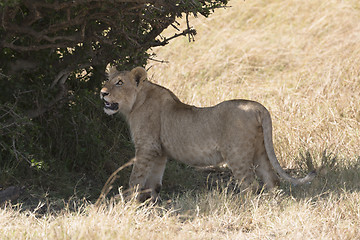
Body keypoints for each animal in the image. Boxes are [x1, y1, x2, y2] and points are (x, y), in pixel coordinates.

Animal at [100, 65, 316, 201]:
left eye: (119, 83)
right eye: (107, 80)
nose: (102, 93)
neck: (136, 102)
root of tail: (258, 107)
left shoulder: (146, 147)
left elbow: (136, 178)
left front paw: (127, 201)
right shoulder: (159, 152)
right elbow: (154, 182)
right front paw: (150, 204)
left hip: (237, 154)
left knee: (250, 185)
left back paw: (242, 206)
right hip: (259, 151)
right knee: (272, 180)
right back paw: (272, 202)